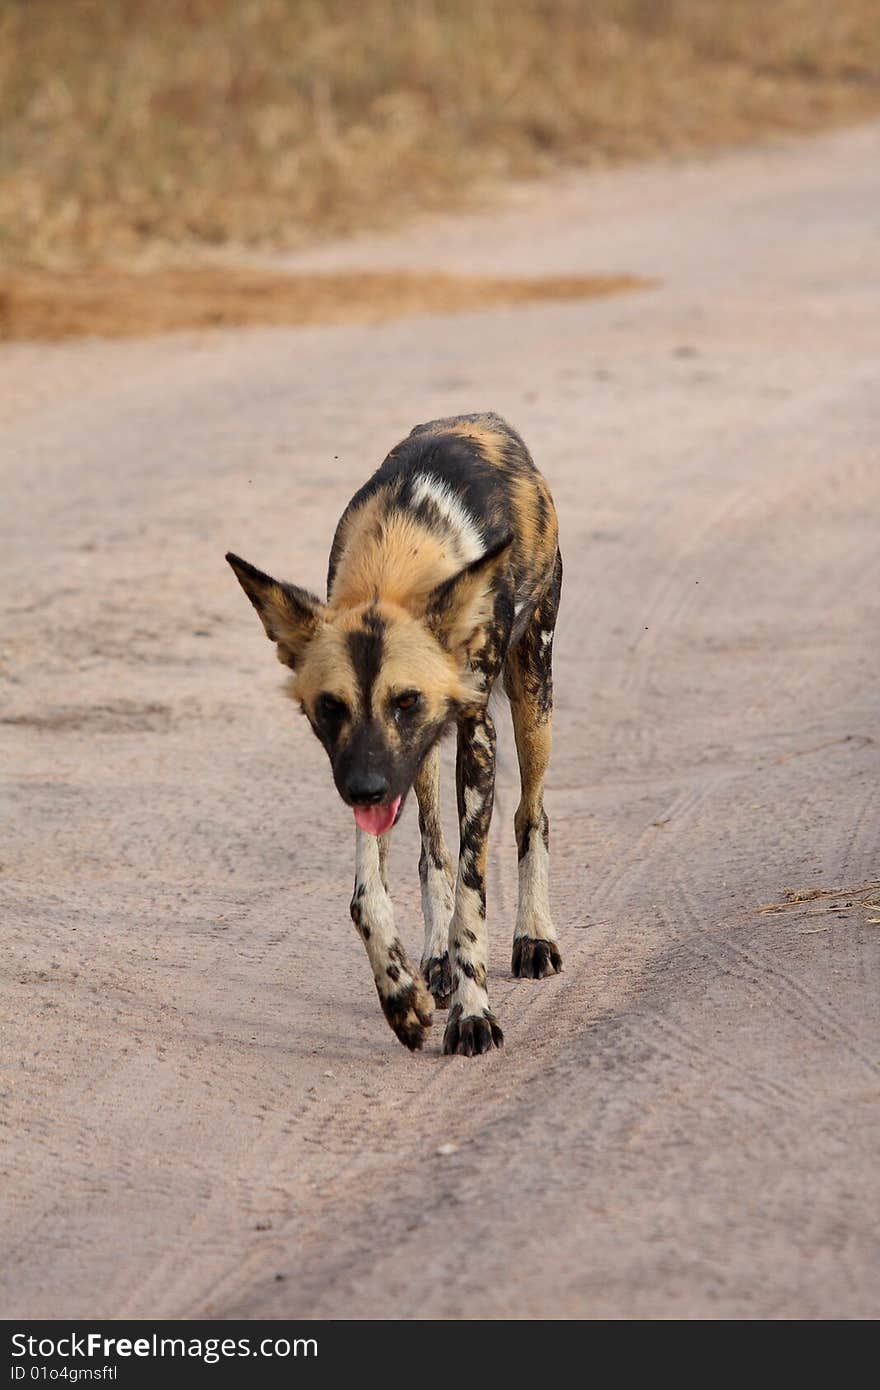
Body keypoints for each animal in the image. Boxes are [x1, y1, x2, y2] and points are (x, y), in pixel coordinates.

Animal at [226, 417, 561, 1056]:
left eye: (406, 701)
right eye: (330, 708)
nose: (365, 789)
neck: (395, 565)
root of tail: (485, 419)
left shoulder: (472, 736)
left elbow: (473, 896)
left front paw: (473, 1013)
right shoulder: (378, 767)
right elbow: (368, 896)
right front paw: (402, 997)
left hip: (532, 695)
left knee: (531, 817)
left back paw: (533, 936)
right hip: (420, 761)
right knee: (433, 852)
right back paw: (434, 961)